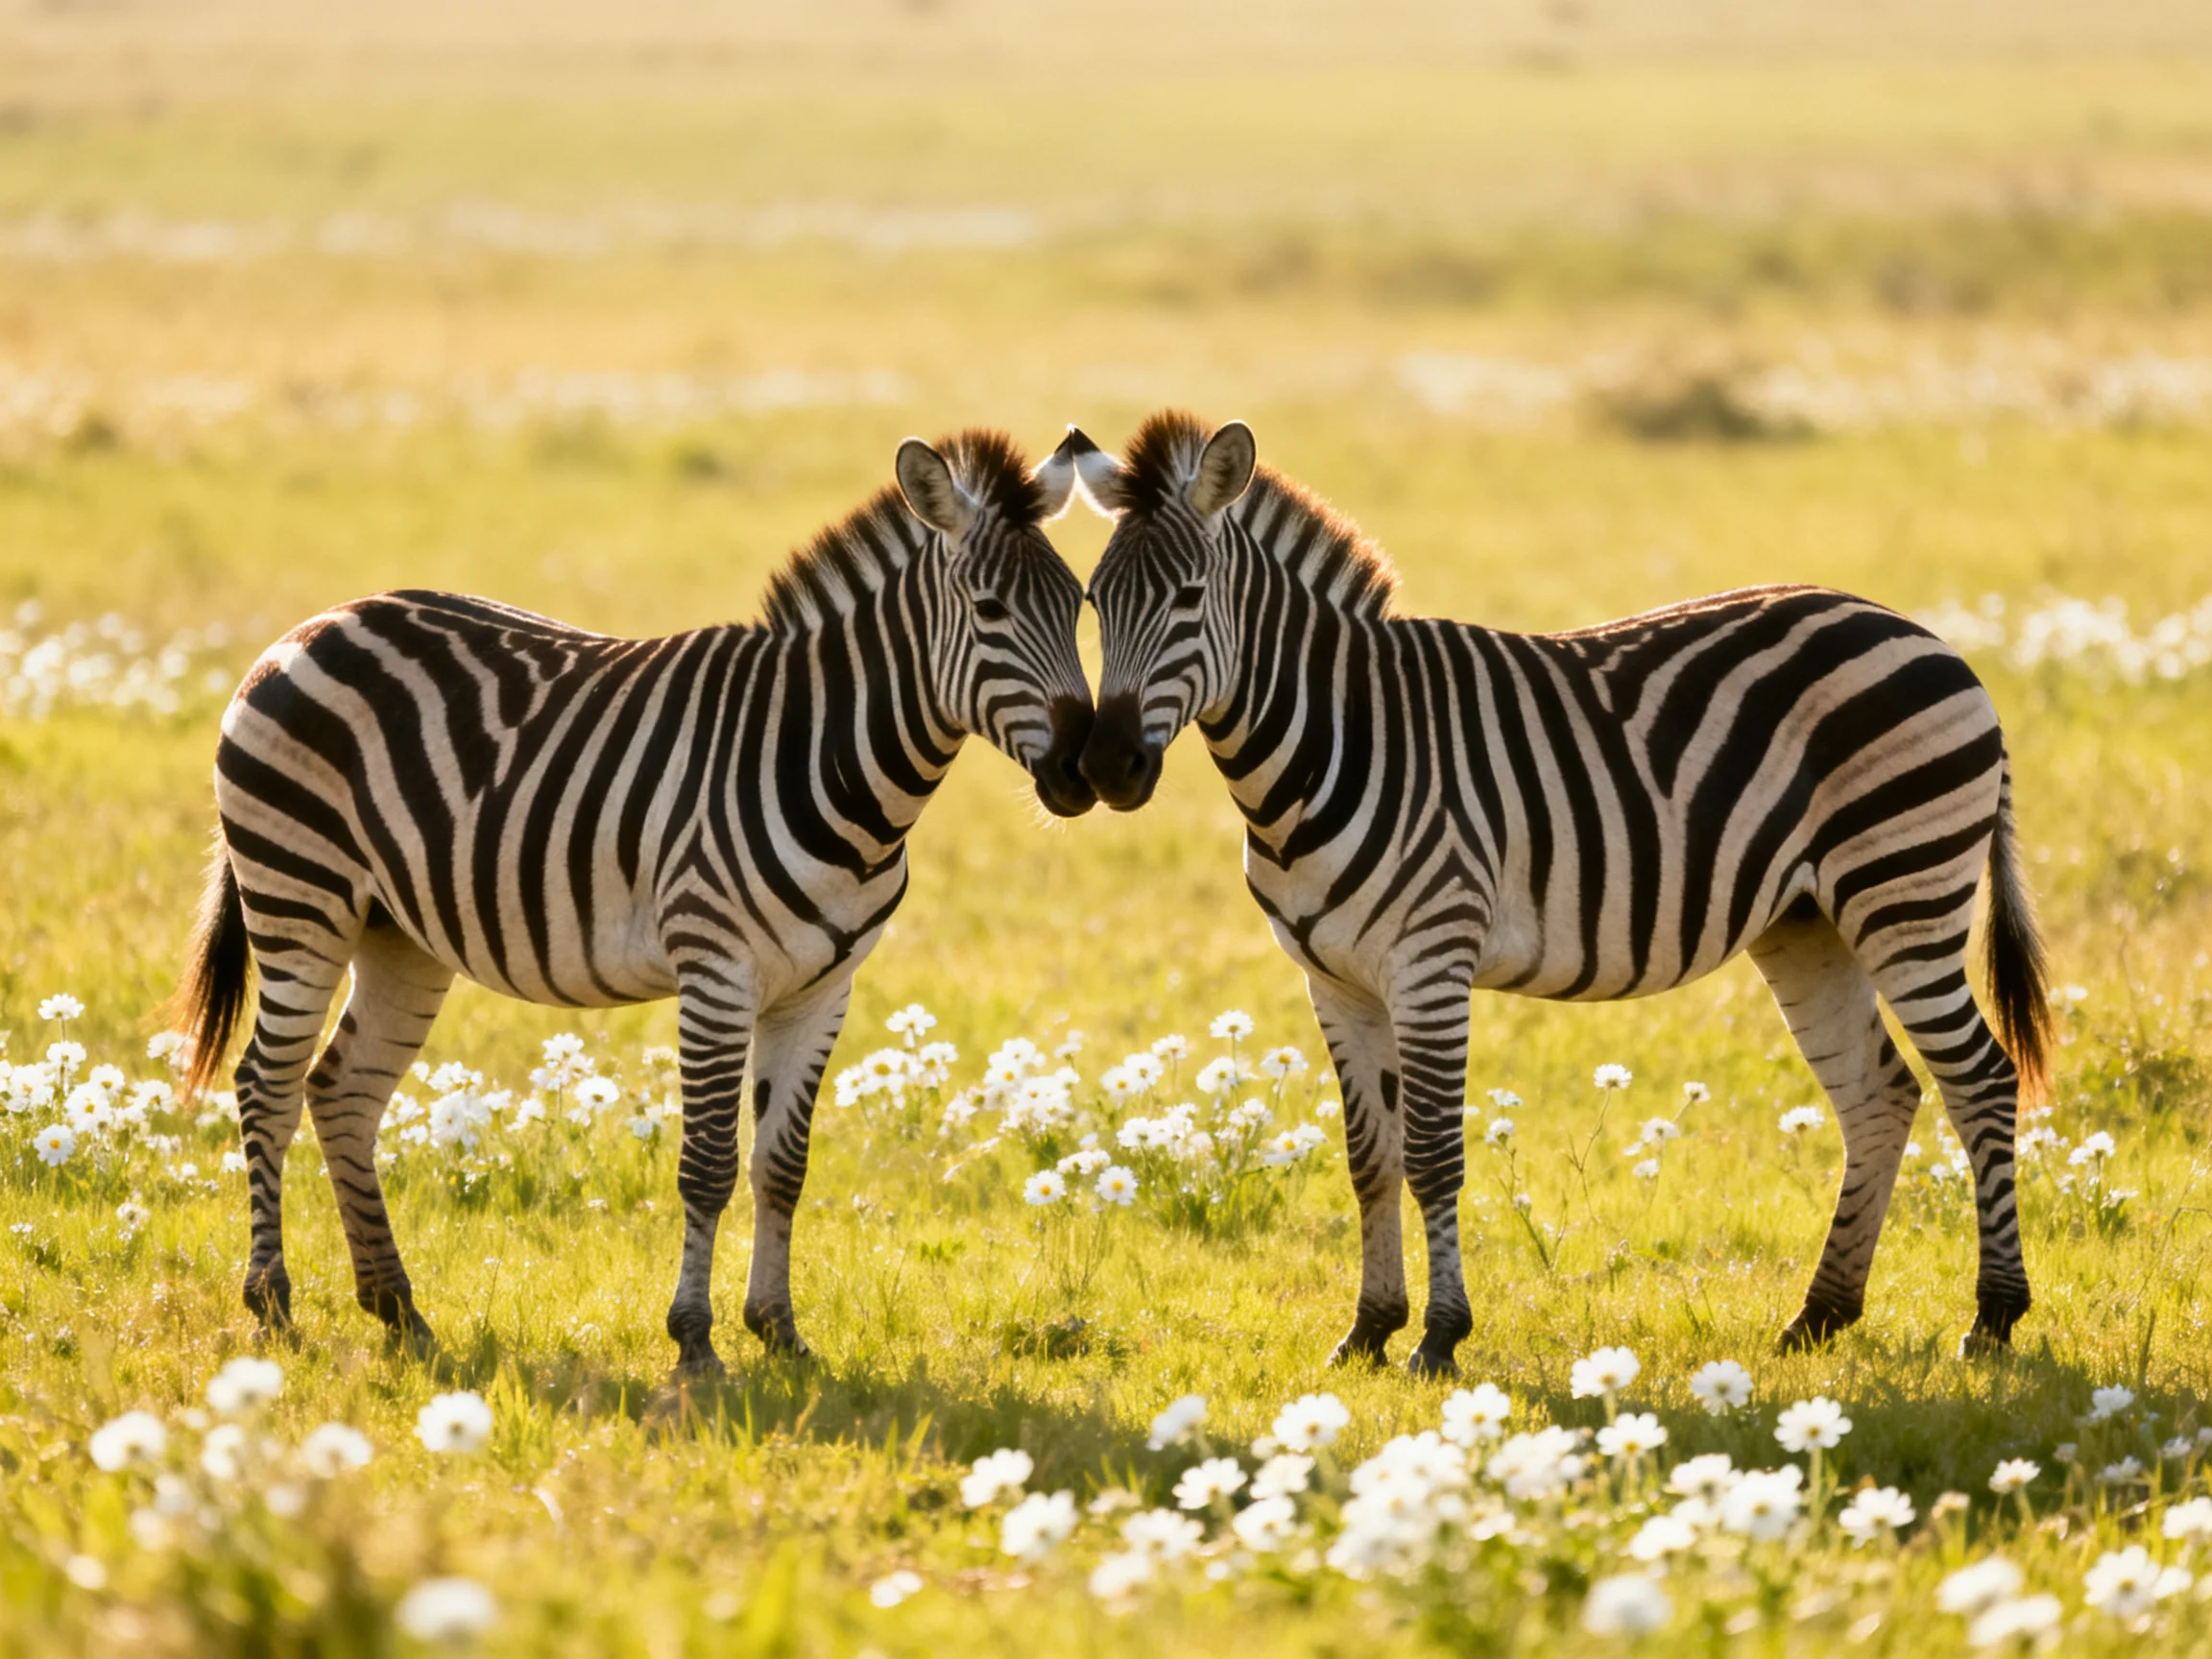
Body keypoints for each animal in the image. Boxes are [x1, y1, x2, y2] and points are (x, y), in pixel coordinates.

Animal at [169, 429, 1097, 1376]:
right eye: (989, 609)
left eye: (1081, 607)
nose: (1086, 770)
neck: (829, 758)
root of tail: (313, 627)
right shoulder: (716, 969)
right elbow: (708, 1165)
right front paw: (695, 1341)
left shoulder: (823, 987)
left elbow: (783, 1165)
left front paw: (780, 1330)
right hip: (300, 896)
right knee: (267, 1084)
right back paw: (272, 1304)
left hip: (399, 935)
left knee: (342, 1090)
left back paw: (397, 1309)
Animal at [1069, 409, 2052, 1376]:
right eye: (1093, 604)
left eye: (1190, 598)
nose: (1108, 767)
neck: (1327, 743)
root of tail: (1924, 635)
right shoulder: (1334, 980)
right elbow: (1369, 1158)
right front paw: (1368, 1330)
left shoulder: (1431, 958)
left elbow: (1432, 1155)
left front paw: (1438, 1336)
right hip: (1808, 924)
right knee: (1880, 1095)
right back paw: (1818, 1318)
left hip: (1903, 890)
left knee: (1980, 1077)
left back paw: (1993, 1318)